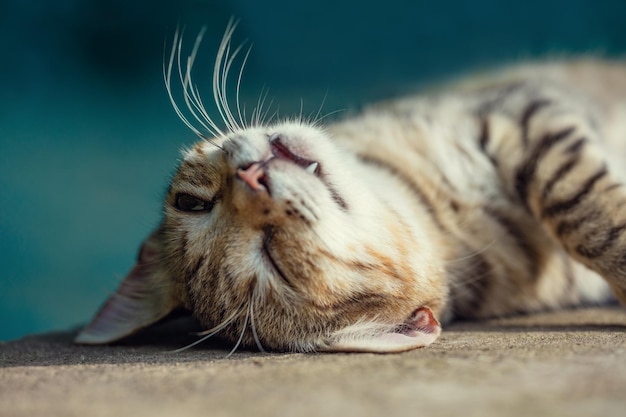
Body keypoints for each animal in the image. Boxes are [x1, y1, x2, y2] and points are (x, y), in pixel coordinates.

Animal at [75, 21, 624, 352]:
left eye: (192, 202)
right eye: (272, 259)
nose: (251, 177)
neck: (440, 209)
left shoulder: (518, 109)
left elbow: (578, 209)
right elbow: (587, 213)